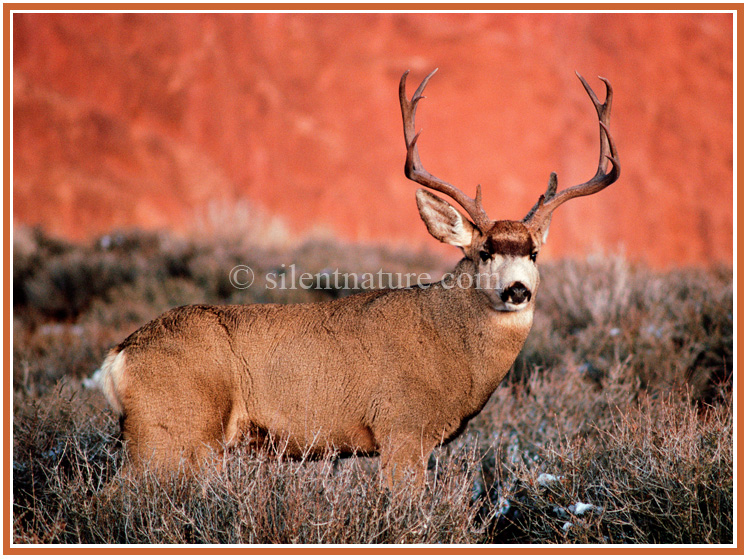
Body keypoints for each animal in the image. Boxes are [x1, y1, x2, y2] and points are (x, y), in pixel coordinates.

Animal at [89, 71, 620, 490]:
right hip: (172, 429)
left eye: (533, 253)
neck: (450, 348)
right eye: (483, 251)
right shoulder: (402, 429)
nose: (517, 290)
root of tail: (120, 354)